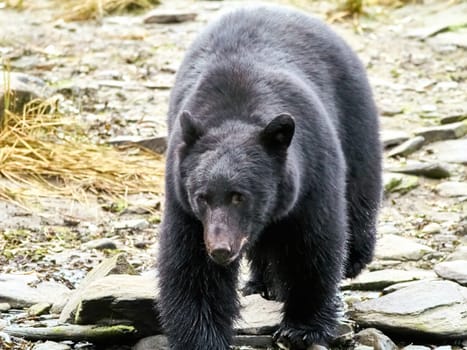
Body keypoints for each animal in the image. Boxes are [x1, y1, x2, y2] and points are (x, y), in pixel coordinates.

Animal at [159, 4, 382, 348]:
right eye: (202, 197)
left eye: (239, 196)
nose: (221, 249)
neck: (236, 109)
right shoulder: (183, 199)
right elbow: (191, 267)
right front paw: (201, 337)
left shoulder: (311, 174)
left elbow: (312, 246)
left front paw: (301, 327)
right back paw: (262, 281)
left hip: (354, 114)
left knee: (360, 187)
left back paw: (354, 259)